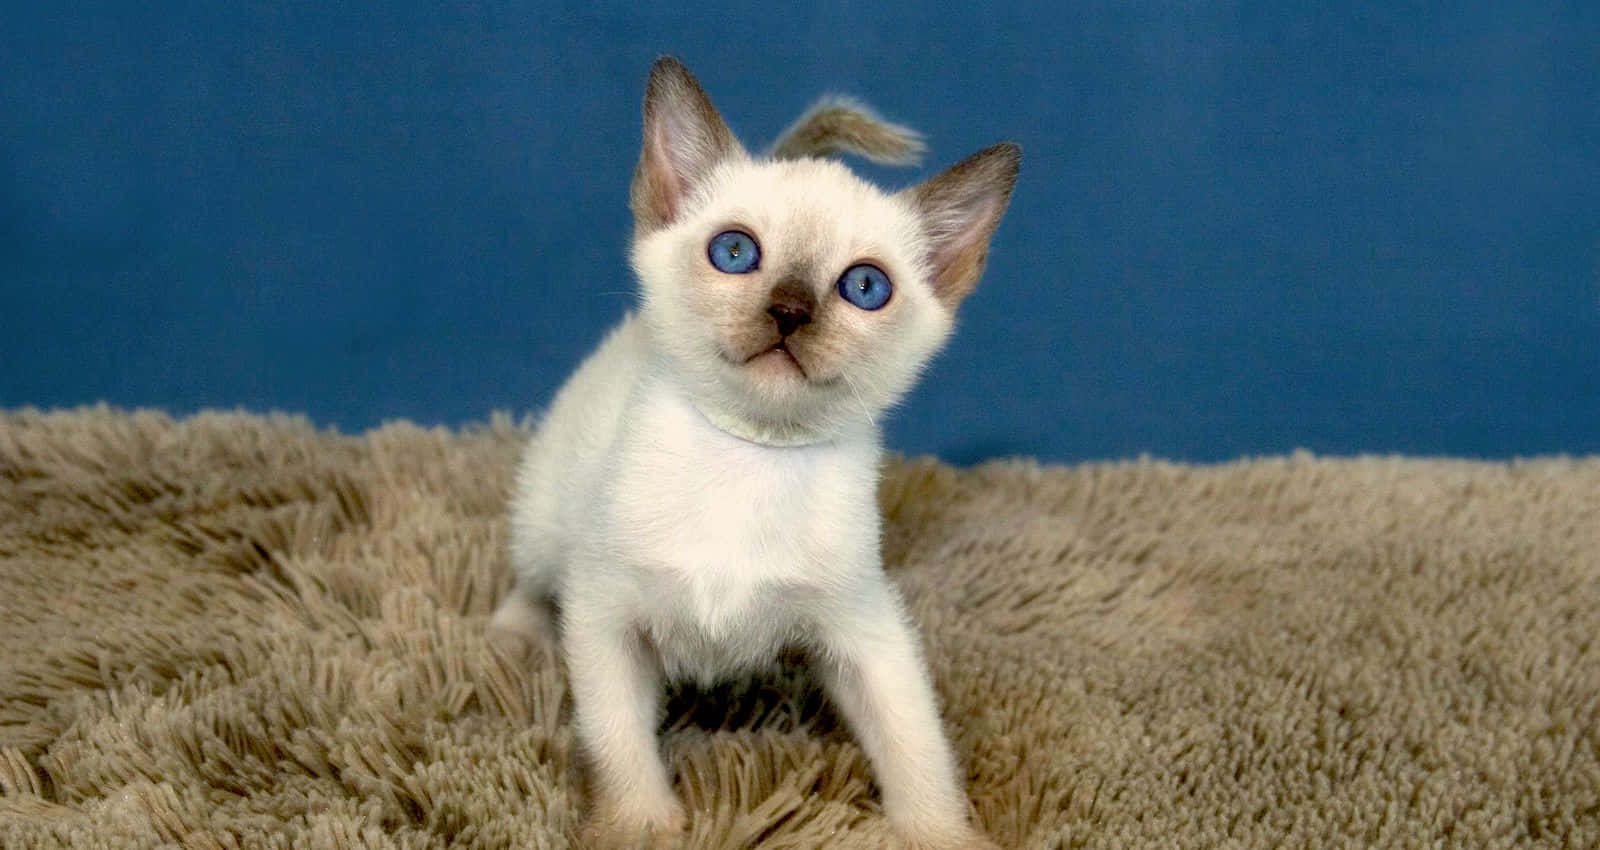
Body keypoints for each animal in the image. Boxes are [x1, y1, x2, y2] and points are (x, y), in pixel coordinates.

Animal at [492, 56, 1017, 845]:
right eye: (735, 252)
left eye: (866, 287)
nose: (790, 311)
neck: (752, 457)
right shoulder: (606, 614)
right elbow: (619, 741)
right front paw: (640, 826)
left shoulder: (865, 626)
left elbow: (916, 742)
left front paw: (938, 834)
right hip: (546, 517)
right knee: (531, 580)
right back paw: (511, 639)